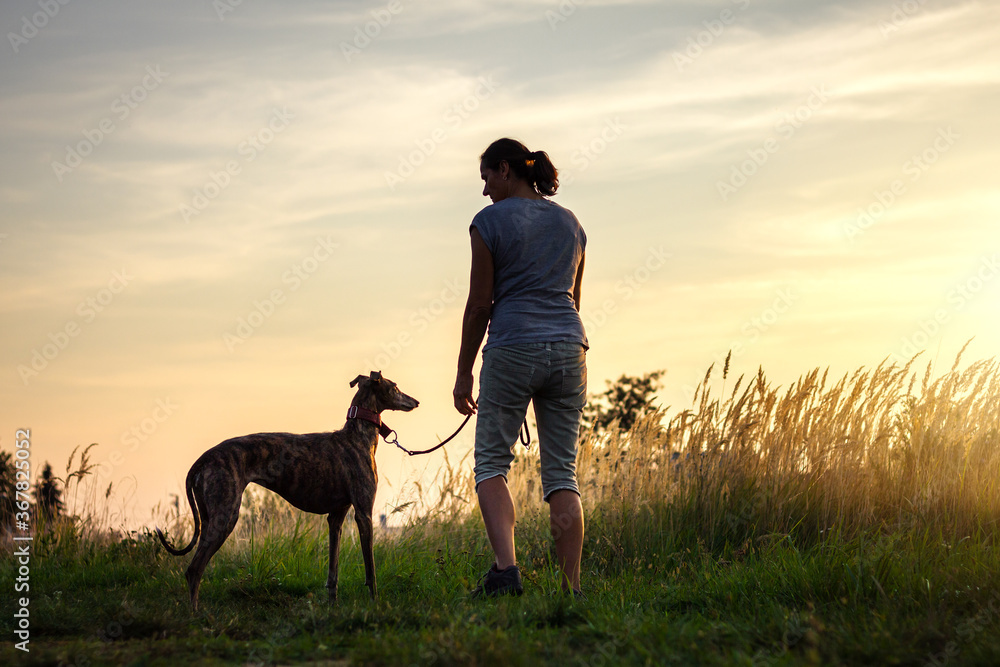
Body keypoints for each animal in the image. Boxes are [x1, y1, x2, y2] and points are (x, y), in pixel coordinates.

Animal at [155, 374, 418, 612]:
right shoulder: (364, 514)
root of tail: (204, 458)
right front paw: (376, 605)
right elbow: (370, 569)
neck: (357, 436)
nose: (415, 401)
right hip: (226, 515)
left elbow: (332, 573)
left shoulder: (336, 518)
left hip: (209, 516)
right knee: (193, 570)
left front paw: (332, 608)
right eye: (395, 387)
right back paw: (196, 615)